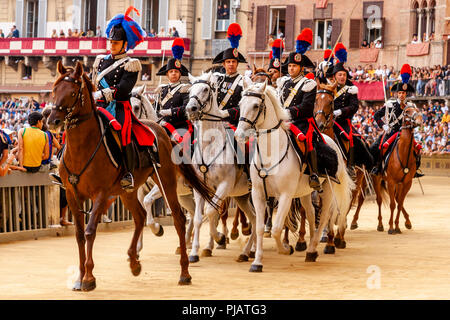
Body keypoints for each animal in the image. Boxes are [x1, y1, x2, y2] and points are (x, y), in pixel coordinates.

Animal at [48, 61, 216, 292]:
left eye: (72, 92)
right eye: (54, 90)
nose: (52, 120)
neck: (82, 147)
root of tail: (161, 131)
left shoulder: (100, 194)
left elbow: (90, 231)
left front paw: (89, 278)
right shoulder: (74, 196)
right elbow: (80, 234)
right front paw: (80, 277)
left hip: (166, 182)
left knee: (180, 219)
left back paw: (185, 270)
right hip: (128, 191)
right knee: (140, 216)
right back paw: (135, 262)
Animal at [185, 72, 256, 262]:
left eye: (205, 89)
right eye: (190, 90)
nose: (191, 109)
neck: (210, 144)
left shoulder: (224, 186)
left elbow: (211, 212)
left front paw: (219, 238)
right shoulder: (200, 189)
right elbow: (198, 217)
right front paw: (195, 252)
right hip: (242, 197)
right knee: (254, 219)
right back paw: (247, 251)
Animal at [234, 80, 354, 272]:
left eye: (256, 105)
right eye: (240, 104)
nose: (239, 135)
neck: (270, 153)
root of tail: (330, 140)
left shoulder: (285, 195)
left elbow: (276, 228)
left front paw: (284, 249)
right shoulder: (258, 194)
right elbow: (259, 227)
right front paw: (257, 262)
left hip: (327, 189)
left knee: (324, 216)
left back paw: (316, 246)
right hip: (305, 192)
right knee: (311, 213)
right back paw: (311, 248)